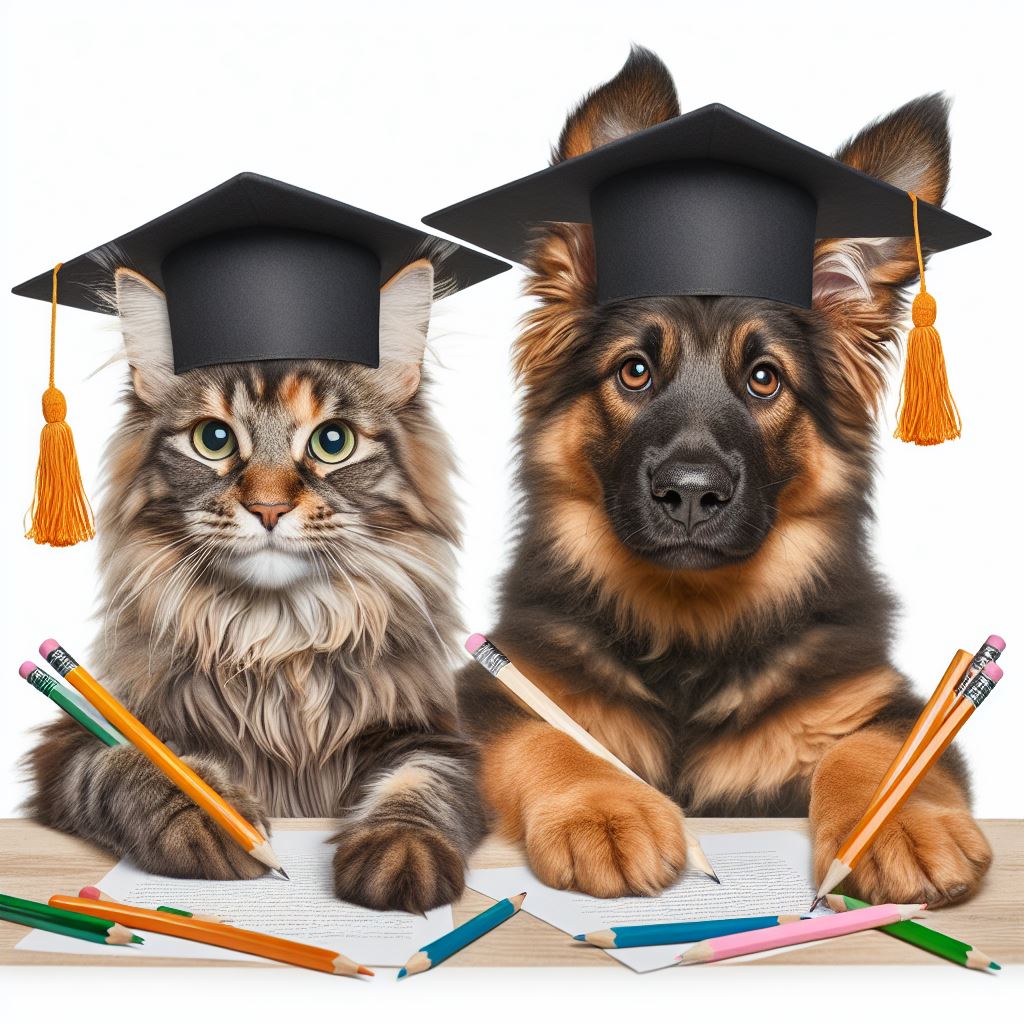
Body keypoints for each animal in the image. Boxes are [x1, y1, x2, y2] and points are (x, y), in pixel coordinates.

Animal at [27, 256, 483, 913]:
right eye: (213, 439)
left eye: (333, 441)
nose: (268, 508)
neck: (276, 639)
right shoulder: (70, 741)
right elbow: (131, 762)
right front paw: (209, 813)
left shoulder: (434, 736)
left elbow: (421, 785)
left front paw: (400, 850)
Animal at [458, 48, 991, 909]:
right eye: (635, 371)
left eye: (765, 379)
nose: (689, 494)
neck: (691, 630)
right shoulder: (491, 691)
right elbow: (553, 736)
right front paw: (605, 810)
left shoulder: (883, 704)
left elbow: (877, 750)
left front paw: (902, 824)